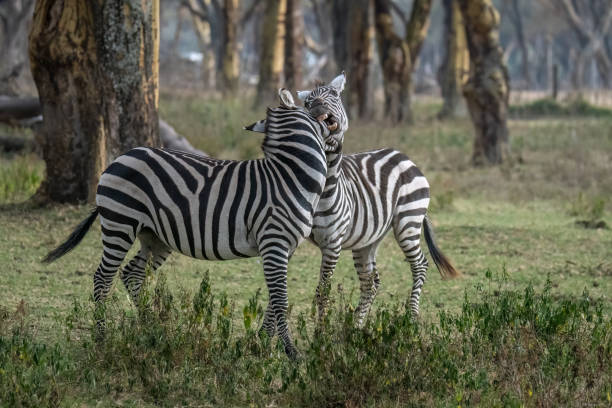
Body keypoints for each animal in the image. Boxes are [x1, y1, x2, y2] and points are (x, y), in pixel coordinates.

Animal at [44, 89, 344, 356]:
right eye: (313, 102)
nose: (321, 103)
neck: (291, 176)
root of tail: (119, 158)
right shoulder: (274, 243)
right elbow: (280, 299)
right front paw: (290, 351)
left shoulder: (285, 248)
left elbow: (273, 299)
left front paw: (260, 343)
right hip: (120, 222)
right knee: (103, 277)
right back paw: (101, 339)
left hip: (154, 236)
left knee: (132, 274)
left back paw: (151, 330)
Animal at [244, 76, 460, 326]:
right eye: (307, 102)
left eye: (333, 96)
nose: (316, 105)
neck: (322, 189)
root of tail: (400, 154)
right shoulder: (290, 236)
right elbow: (277, 291)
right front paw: (264, 332)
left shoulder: (332, 242)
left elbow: (323, 291)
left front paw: (321, 331)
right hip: (368, 238)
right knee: (371, 281)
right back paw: (357, 325)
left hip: (408, 221)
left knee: (419, 264)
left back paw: (411, 317)